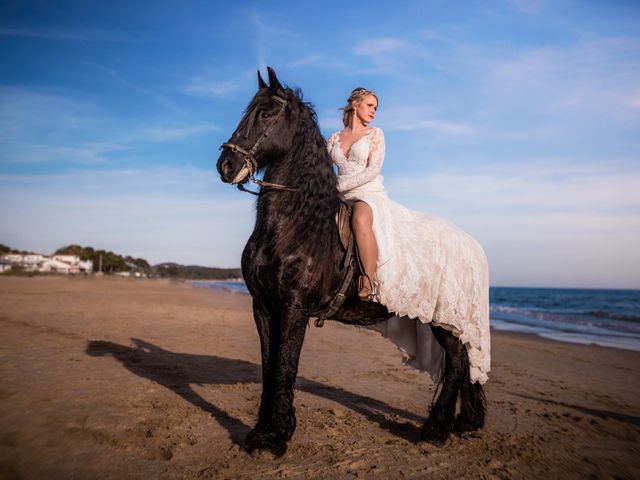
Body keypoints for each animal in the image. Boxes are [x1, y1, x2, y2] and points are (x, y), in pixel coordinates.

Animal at [216, 67, 484, 458]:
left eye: (266, 114)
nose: (226, 164)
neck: (297, 225)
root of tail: (471, 244)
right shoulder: (263, 306)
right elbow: (269, 366)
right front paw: (263, 432)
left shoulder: (294, 308)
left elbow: (284, 366)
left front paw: (274, 437)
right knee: (460, 364)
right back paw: (459, 424)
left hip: (446, 321)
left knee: (458, 363)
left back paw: (435, 430)